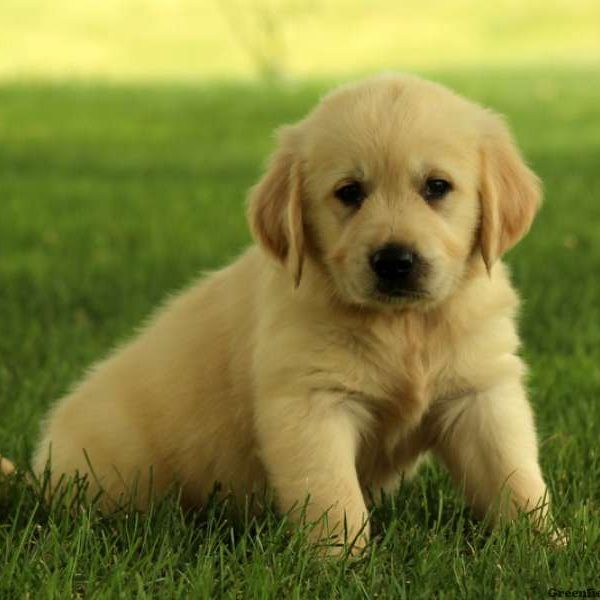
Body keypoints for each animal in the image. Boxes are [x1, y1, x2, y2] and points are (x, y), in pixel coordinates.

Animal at [25, 72, 548, 552]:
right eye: (349, 192)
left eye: (437, 187)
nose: (395, 261)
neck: (403, 326)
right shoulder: (310, 403)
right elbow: (333, 496)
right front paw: (343, 565)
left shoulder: (481, 393)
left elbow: (514, 474)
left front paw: (545, 545)